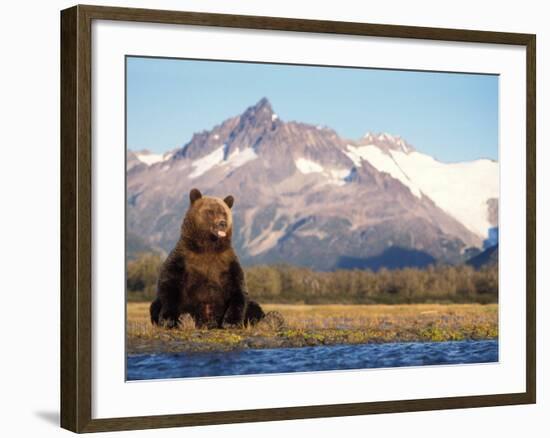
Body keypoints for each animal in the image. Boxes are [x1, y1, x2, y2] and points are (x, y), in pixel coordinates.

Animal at [150, 188, 268, 328]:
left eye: (224, 212)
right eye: (210, 211)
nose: (222, 223)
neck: (208, 246)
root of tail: (207, 322)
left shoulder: (227, 262)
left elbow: (238, 290)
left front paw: (231, 322)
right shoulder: (183, 258)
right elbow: (169, 284)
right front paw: (168, 319)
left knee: (254, 307)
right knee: (155, 305)